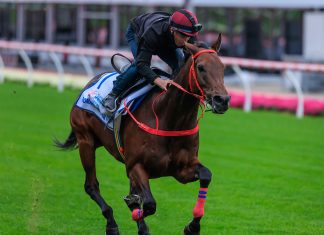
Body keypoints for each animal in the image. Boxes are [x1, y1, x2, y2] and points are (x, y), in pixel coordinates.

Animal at [53, 35, 230, 235]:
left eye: (223, 67)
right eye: (201, 67)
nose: (222, 100)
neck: (168, 118)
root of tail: (91, 82)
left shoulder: (181, 170)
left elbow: (206, 175)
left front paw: (192, 226)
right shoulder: (136, 166)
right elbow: (150, 204)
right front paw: (134, 207)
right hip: (86, 141)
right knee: (91, 186)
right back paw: (112, 224)